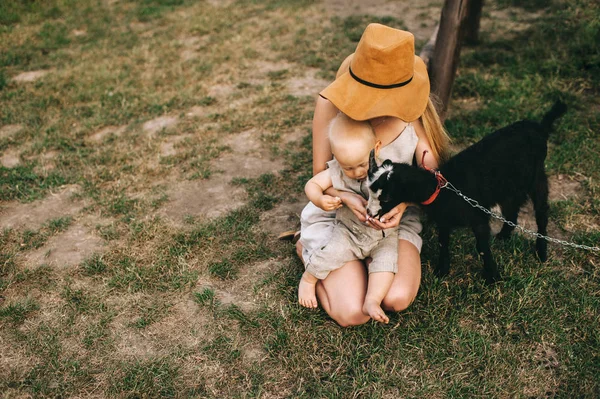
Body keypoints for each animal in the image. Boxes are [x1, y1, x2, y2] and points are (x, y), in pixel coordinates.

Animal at [366, 102, 568, 284]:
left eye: (387, 197)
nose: (369, 213)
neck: (441, 190)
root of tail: (539, 127)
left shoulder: (478, 217)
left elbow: (482, 247)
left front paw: (492, 277)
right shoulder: (443, 219)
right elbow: (443, 242)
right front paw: (442, 270)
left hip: (537, 177)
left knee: (541, 213)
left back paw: (541, 251)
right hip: (507, 186)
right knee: (512, 208)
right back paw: (504, 235)